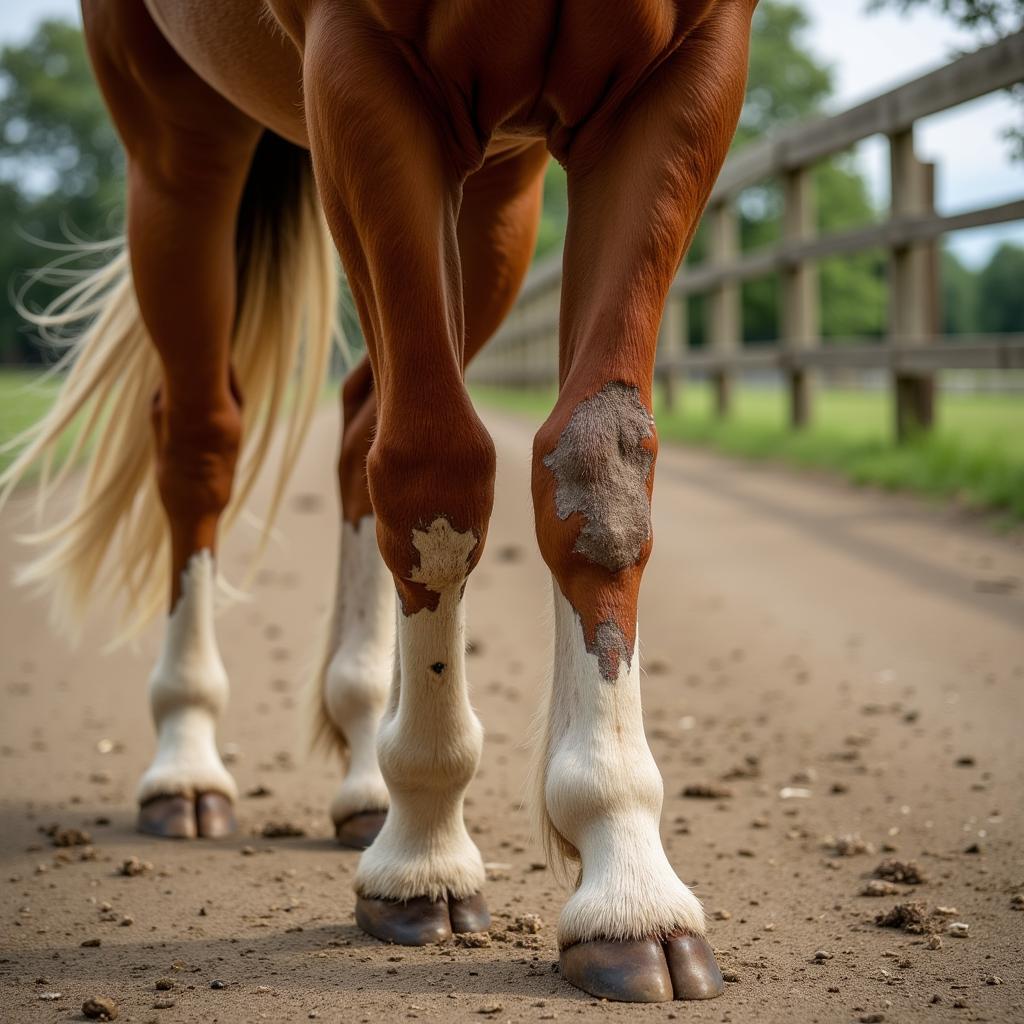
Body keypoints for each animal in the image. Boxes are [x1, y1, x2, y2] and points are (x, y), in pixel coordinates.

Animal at [2, 0, 761, 1007]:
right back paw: (188, 761)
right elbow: (434, 470)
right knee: (203, 442)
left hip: (497, 192)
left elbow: (597, 464)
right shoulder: (362, 73)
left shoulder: (679, 78)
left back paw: (367, 761)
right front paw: (426, 853)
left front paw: (627, 878)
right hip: (178, 147)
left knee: (361, 421)